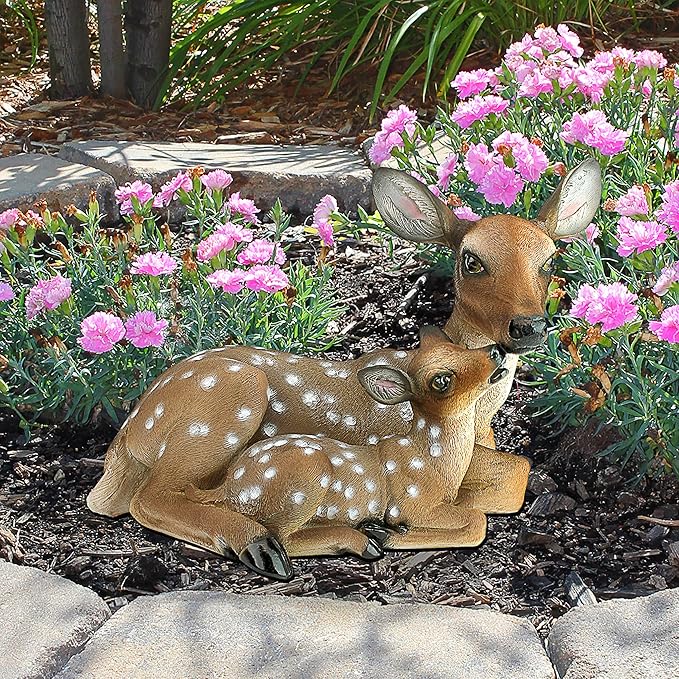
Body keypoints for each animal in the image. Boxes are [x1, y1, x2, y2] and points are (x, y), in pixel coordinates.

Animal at [87, 158, 601, 563]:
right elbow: (516, 472)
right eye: (471, 261)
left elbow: (518, 468)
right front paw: (401, 529)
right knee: (153, 497)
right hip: (227, 404)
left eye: (549, 260)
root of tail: (127, 435)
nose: (528, 326)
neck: (478, 418)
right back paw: (259, 540)